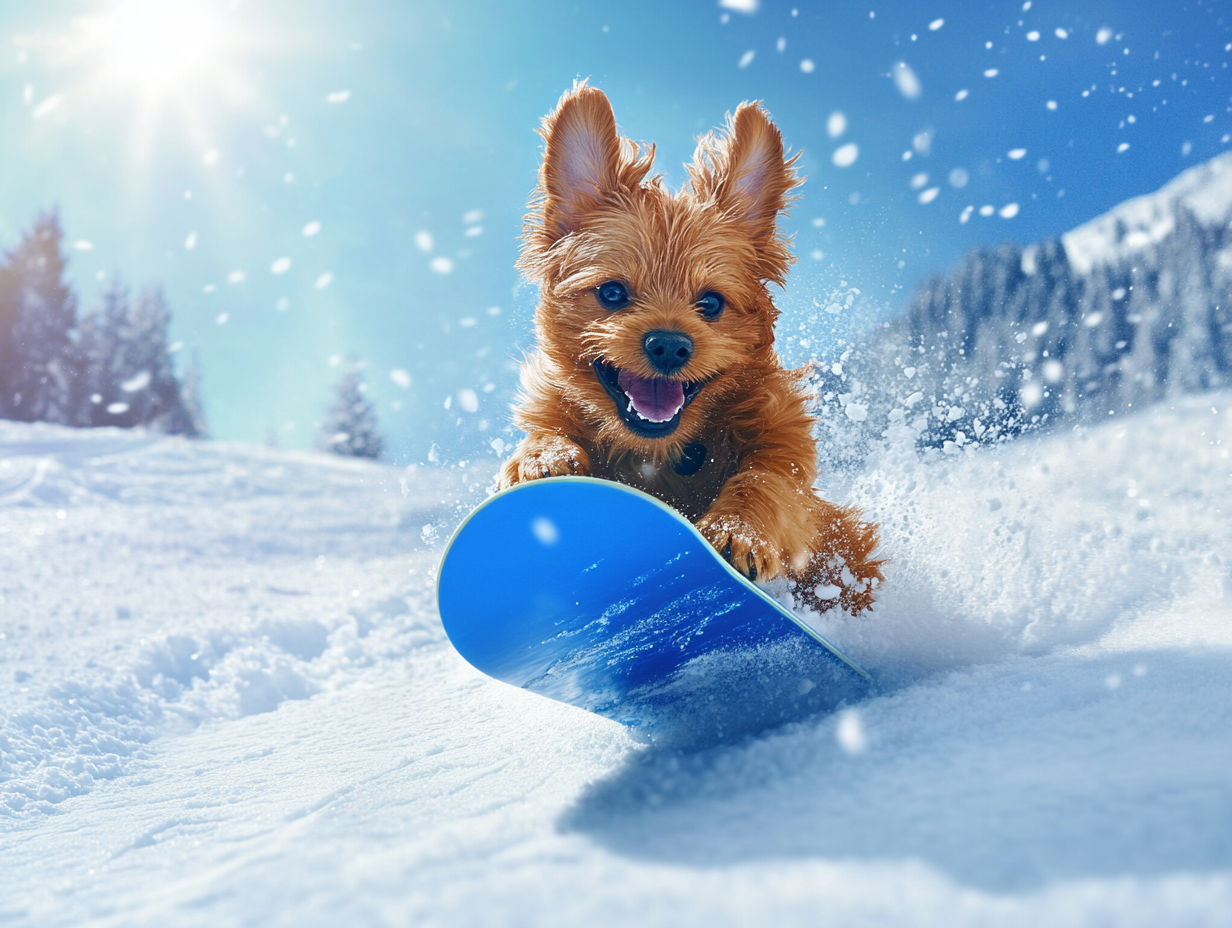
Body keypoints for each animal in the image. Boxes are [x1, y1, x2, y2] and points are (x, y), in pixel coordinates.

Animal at [495, 81, 882, 616]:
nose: (669, 345)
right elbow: (543, 432)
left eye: (711, 302)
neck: (661, 454)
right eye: (612, 293)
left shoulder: (784, 445)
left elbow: (766, 481)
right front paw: (540, 457)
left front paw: (736, 530)